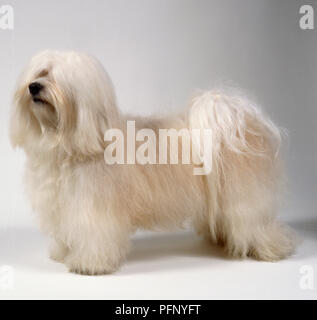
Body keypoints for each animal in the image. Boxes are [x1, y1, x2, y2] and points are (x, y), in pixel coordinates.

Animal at [10, 50, 294, 276]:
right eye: (41, 72)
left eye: (57, 78)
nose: (34, 87)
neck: (71, 144)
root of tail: (237, 118)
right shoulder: (62, 206)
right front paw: (63, 253)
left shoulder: (93, 209)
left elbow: (94, 237)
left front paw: (89, 264)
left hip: (244, 197)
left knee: (255, 222)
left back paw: (270, 249)